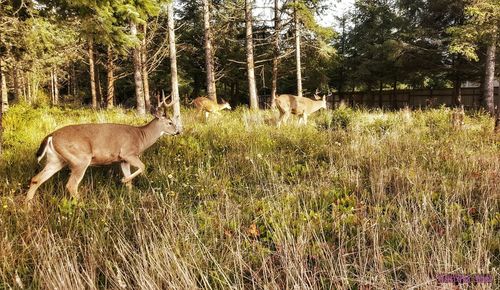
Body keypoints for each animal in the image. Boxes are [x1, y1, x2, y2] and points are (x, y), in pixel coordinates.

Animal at [25, 95, 181, 204]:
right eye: (170, 122)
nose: (178, 132)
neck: (141, 137)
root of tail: (51, 136)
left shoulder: (123, 160)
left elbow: (130, 182)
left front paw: (130, 196)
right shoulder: (128, 153)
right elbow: (143, 167)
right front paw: (123, 180)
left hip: (56, 160)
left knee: (36, 179)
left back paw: (27, 205)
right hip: (80, 159)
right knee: (71, 185)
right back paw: (83, 206)